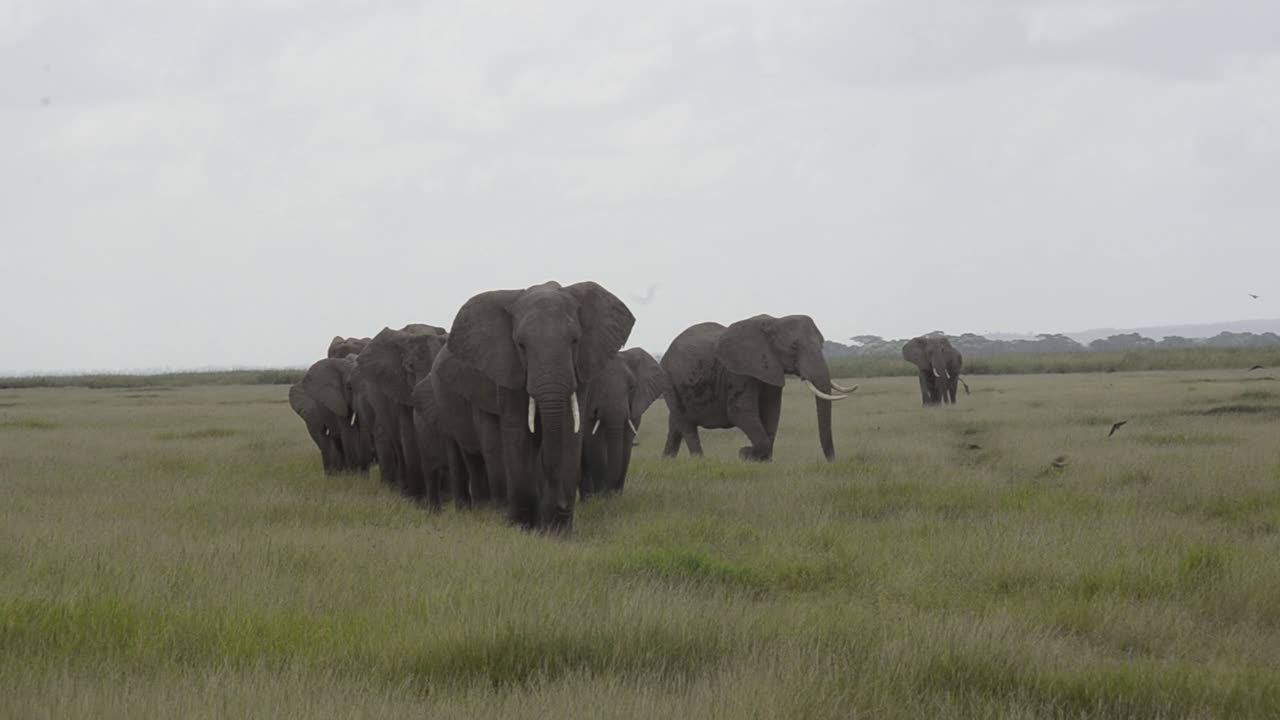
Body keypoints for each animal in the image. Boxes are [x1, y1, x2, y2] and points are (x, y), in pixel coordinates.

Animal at [352, 323, 448, 500]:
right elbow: (408, 432)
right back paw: (402, 490)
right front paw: (416, 500)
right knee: (396, 441)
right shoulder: (397, 385)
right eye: (410, 368)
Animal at [431, 281, 634, 532]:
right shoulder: (506, 368)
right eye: (521, 345)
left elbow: (569, 430)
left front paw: (558, 532)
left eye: (575, 341)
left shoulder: (581, 366)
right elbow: (517, 432)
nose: (562, 504)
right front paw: (523, 528)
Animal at [578, 347, 668, 497]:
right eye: (595, 383)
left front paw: (614, 497)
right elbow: (593, 441)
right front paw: (601, 497)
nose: (609, 490)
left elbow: (625, 444)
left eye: (631, 387)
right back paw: (588, 497)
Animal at [661, 315, 855, 462]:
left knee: (675, 423)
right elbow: (740, 411)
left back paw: (667, 460)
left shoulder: (771, 369)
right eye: (794, 346)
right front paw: (745, 454)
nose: (832, 461)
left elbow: (772, 412)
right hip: (669, 379)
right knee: (686, 423)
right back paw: (700, 461)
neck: (774, 322)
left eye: (822, 344)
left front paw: (764, 462)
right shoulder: (738, 371)